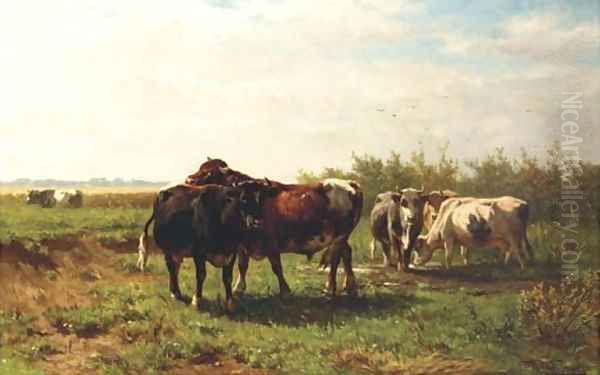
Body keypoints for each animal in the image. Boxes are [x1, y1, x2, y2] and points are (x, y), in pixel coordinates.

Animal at [138, 184, 268, 312]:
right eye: (243, 199)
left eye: (260, 200)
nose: (257, 222)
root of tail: (162, 193)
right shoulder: (199, 253)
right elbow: (201, 275)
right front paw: (197, 300)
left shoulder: (231, 253)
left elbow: (227, 278)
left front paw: (230, 303)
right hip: (167, 249)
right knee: (171, 268)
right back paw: (176, 293)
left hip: (177, 250)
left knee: (175, 268)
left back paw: (175, 291)